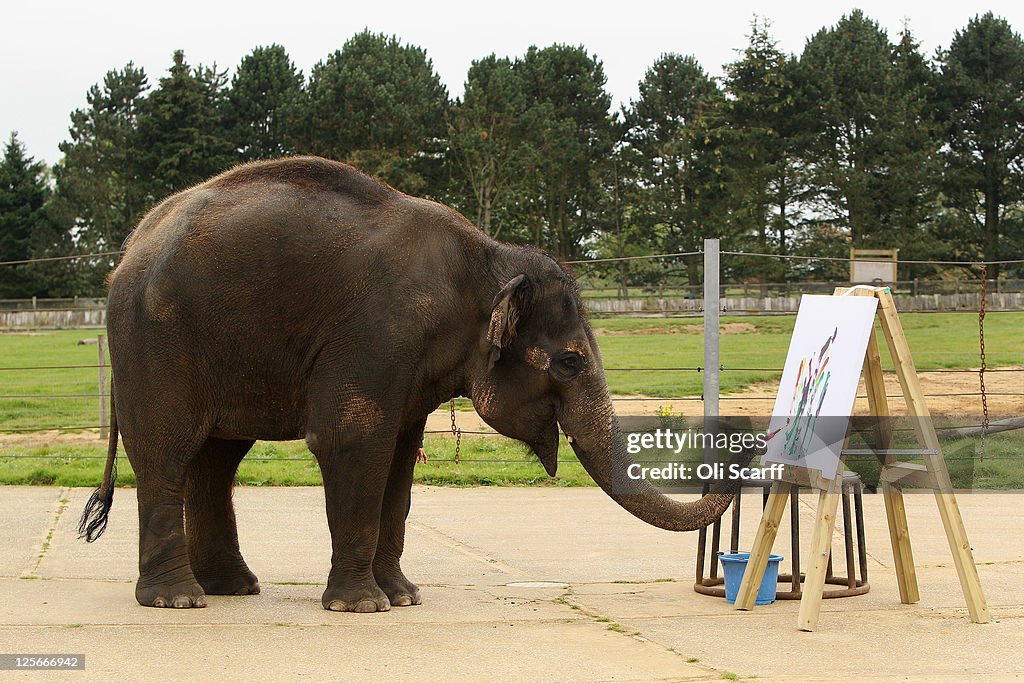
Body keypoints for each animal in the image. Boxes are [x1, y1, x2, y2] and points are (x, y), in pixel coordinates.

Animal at [75, 157, 741, 610]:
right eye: (571, 362)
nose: (736, 444)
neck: (487, 260)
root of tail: (129, 249)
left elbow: (399, 456)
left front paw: (404, 596)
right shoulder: (375, 335)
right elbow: (351, 440)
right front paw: (362, 607)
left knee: (216, 459)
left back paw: (232, 588)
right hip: (157, 343)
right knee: (168, 452)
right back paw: (178, 600)